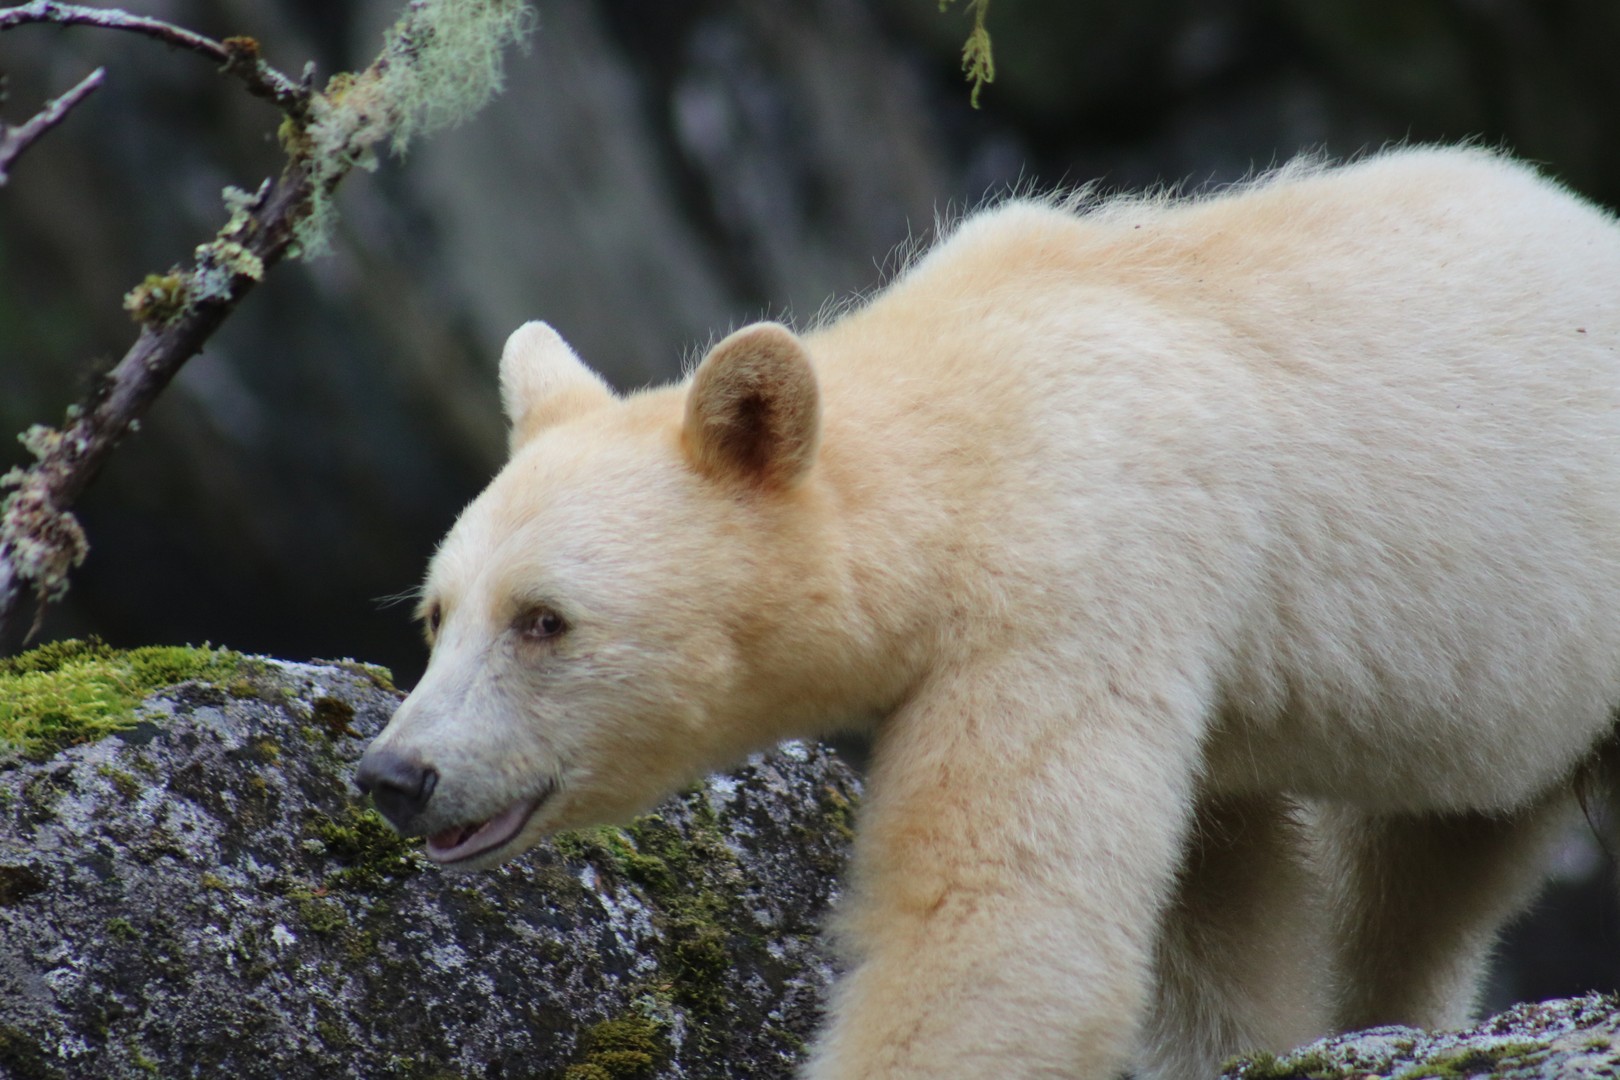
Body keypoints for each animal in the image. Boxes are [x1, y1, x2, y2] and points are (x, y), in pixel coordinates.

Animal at [356, 145, 1620, 1079]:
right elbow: (1216, 902)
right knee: (1431, 867)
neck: (971, 406)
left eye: (544, 620)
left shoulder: (1078, 580)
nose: (396, 774)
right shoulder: (1193, 677)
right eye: (437, 614)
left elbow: (999, 920)